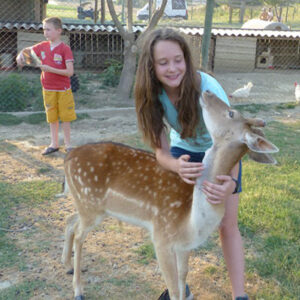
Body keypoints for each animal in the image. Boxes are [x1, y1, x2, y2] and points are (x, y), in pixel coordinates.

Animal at [61, 91, 278, 300]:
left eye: (231, 113)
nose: (207, 92)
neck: (192, 222)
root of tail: (68, 157)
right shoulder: (161, 237)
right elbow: (173, 289)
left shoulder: (183, 246)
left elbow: (183, 277)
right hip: (90, 204)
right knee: (79, 234)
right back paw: (78, 290)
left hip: (88, 205)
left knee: (70, 220)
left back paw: (68, 266)